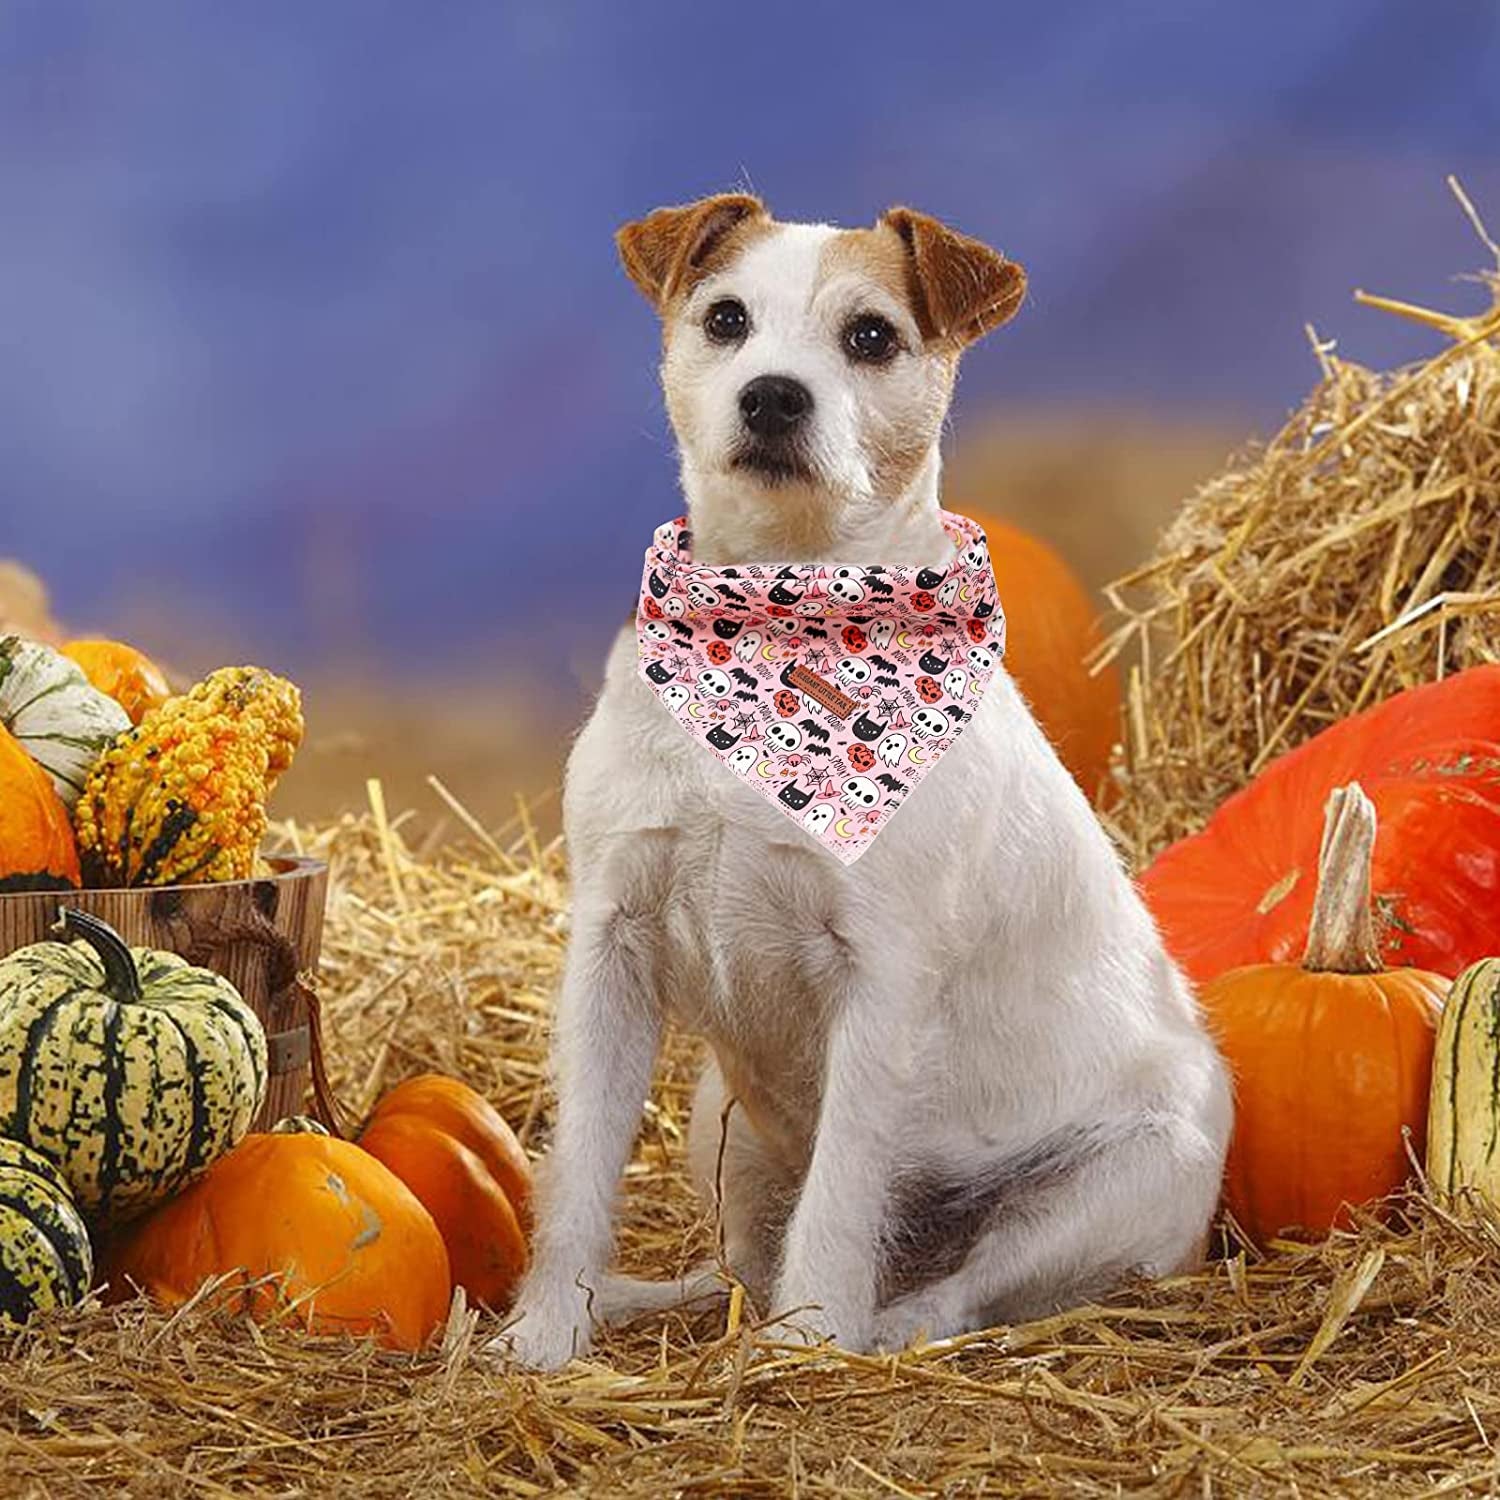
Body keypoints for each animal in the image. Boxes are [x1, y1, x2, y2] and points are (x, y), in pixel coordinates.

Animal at [498, 193, 1224, 1368]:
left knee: (951, 1297)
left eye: (873, 336)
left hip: (1121, 1179)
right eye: (726, 318)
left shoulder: (880, 984)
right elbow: (579, 1173)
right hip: (724, 1122)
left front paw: (806, 1343)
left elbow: (841, 1199)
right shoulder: (612, 943)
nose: (772, 395)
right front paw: (547, 1330)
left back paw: (872, 1328)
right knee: (735, 1267)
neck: (775, 629)